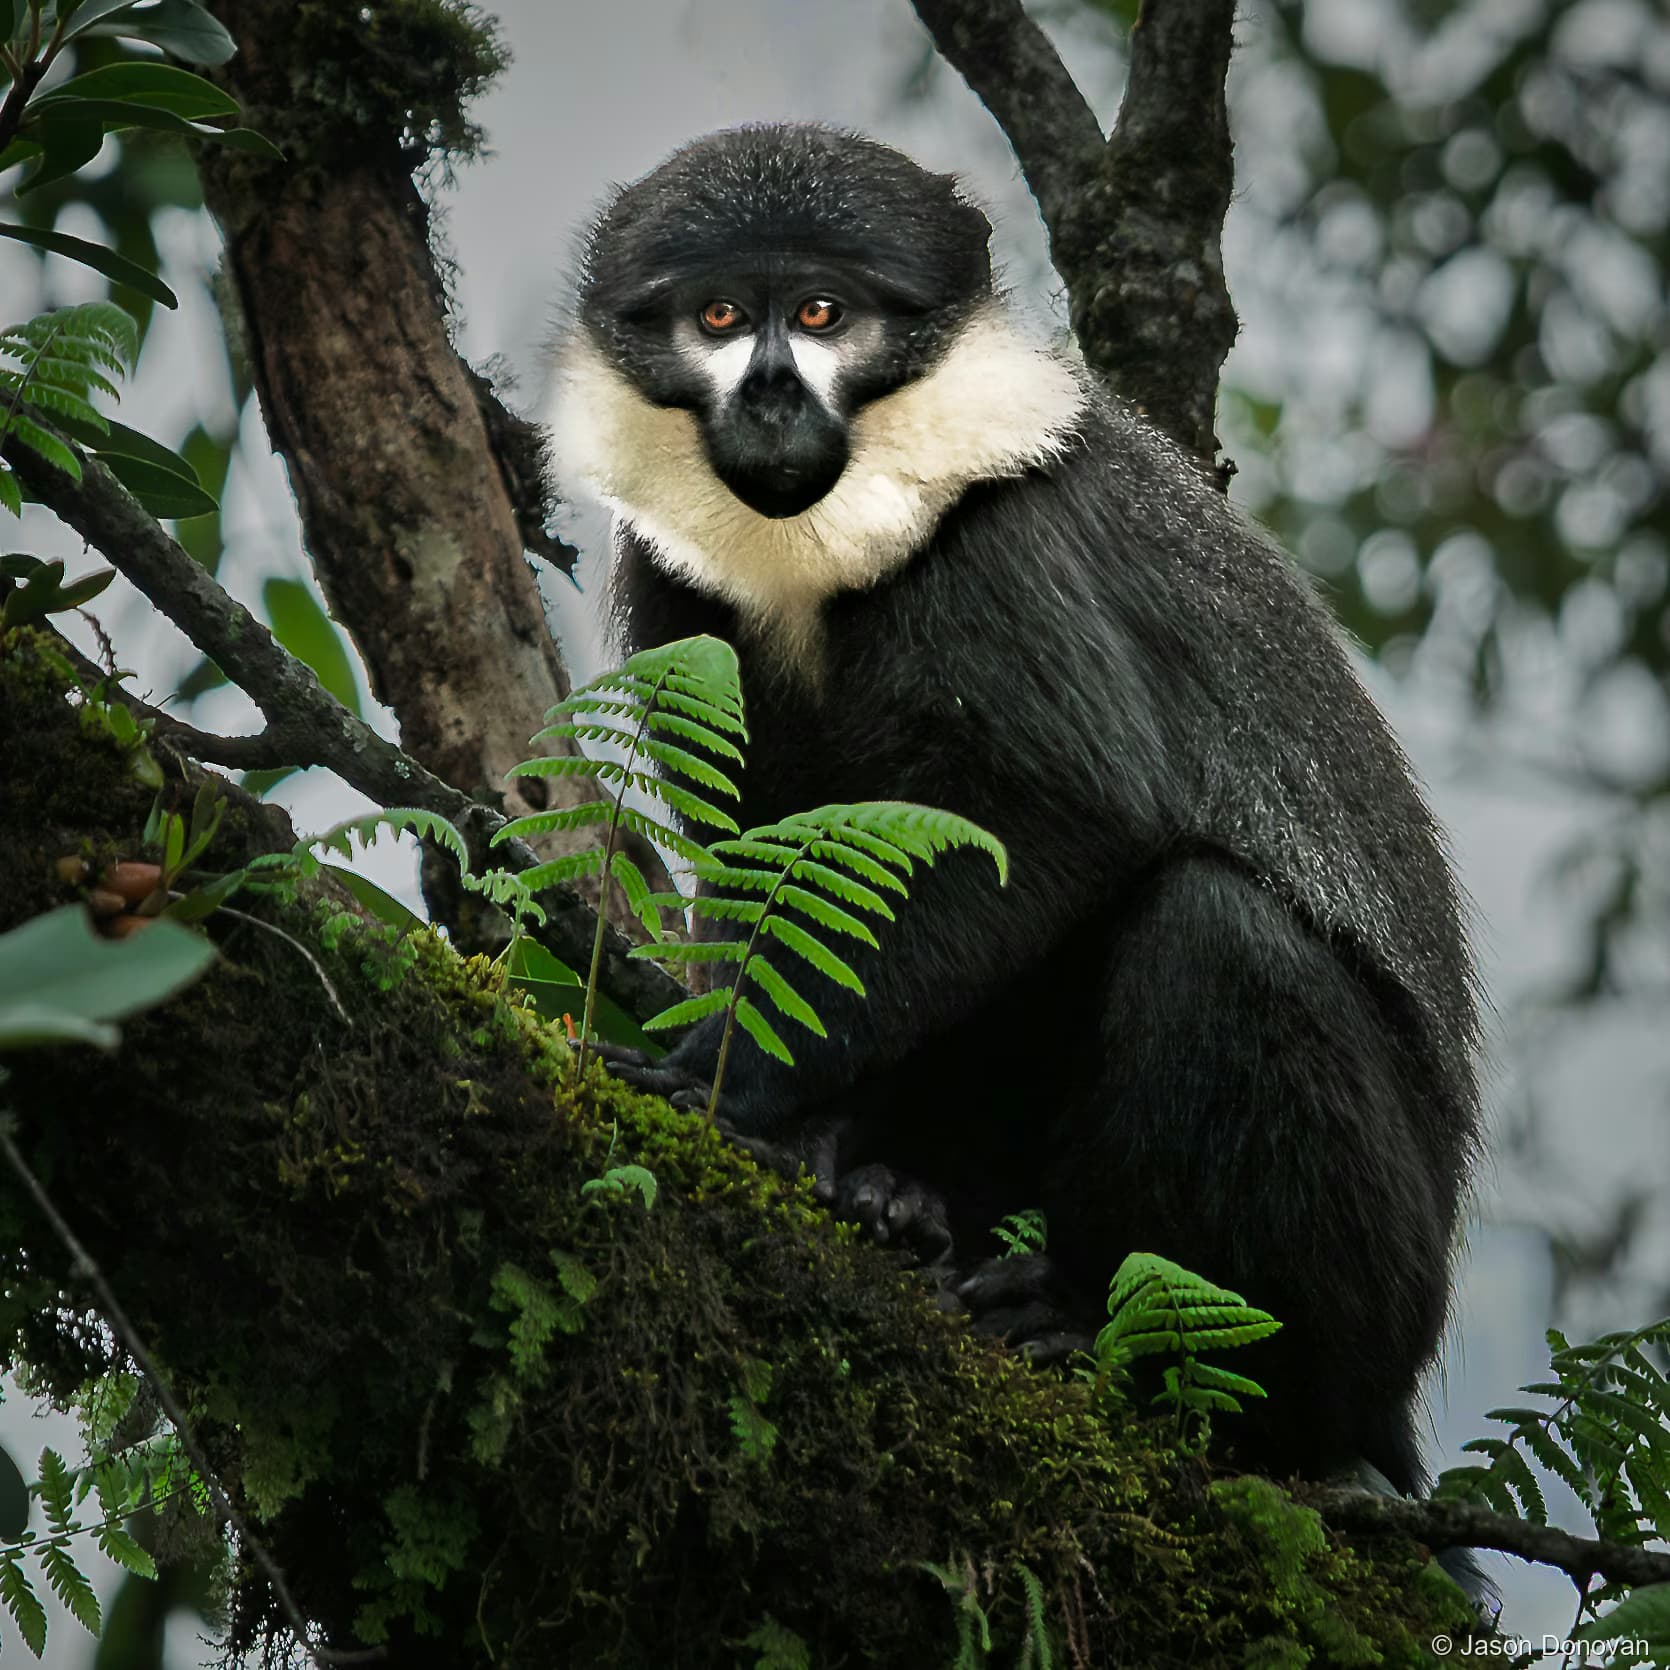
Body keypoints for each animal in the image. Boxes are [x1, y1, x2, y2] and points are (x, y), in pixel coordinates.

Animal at [544, 123, 1482, 1516]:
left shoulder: (1002, 544)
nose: (768, 398)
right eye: (717, 317)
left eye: (820, 316)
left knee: (1215, 930)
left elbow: (1056, 811)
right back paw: (902, 1192)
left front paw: (731, 1074)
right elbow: (770, 850)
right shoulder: (673, 588)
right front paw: (824, 1137)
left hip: (1373, 1298)